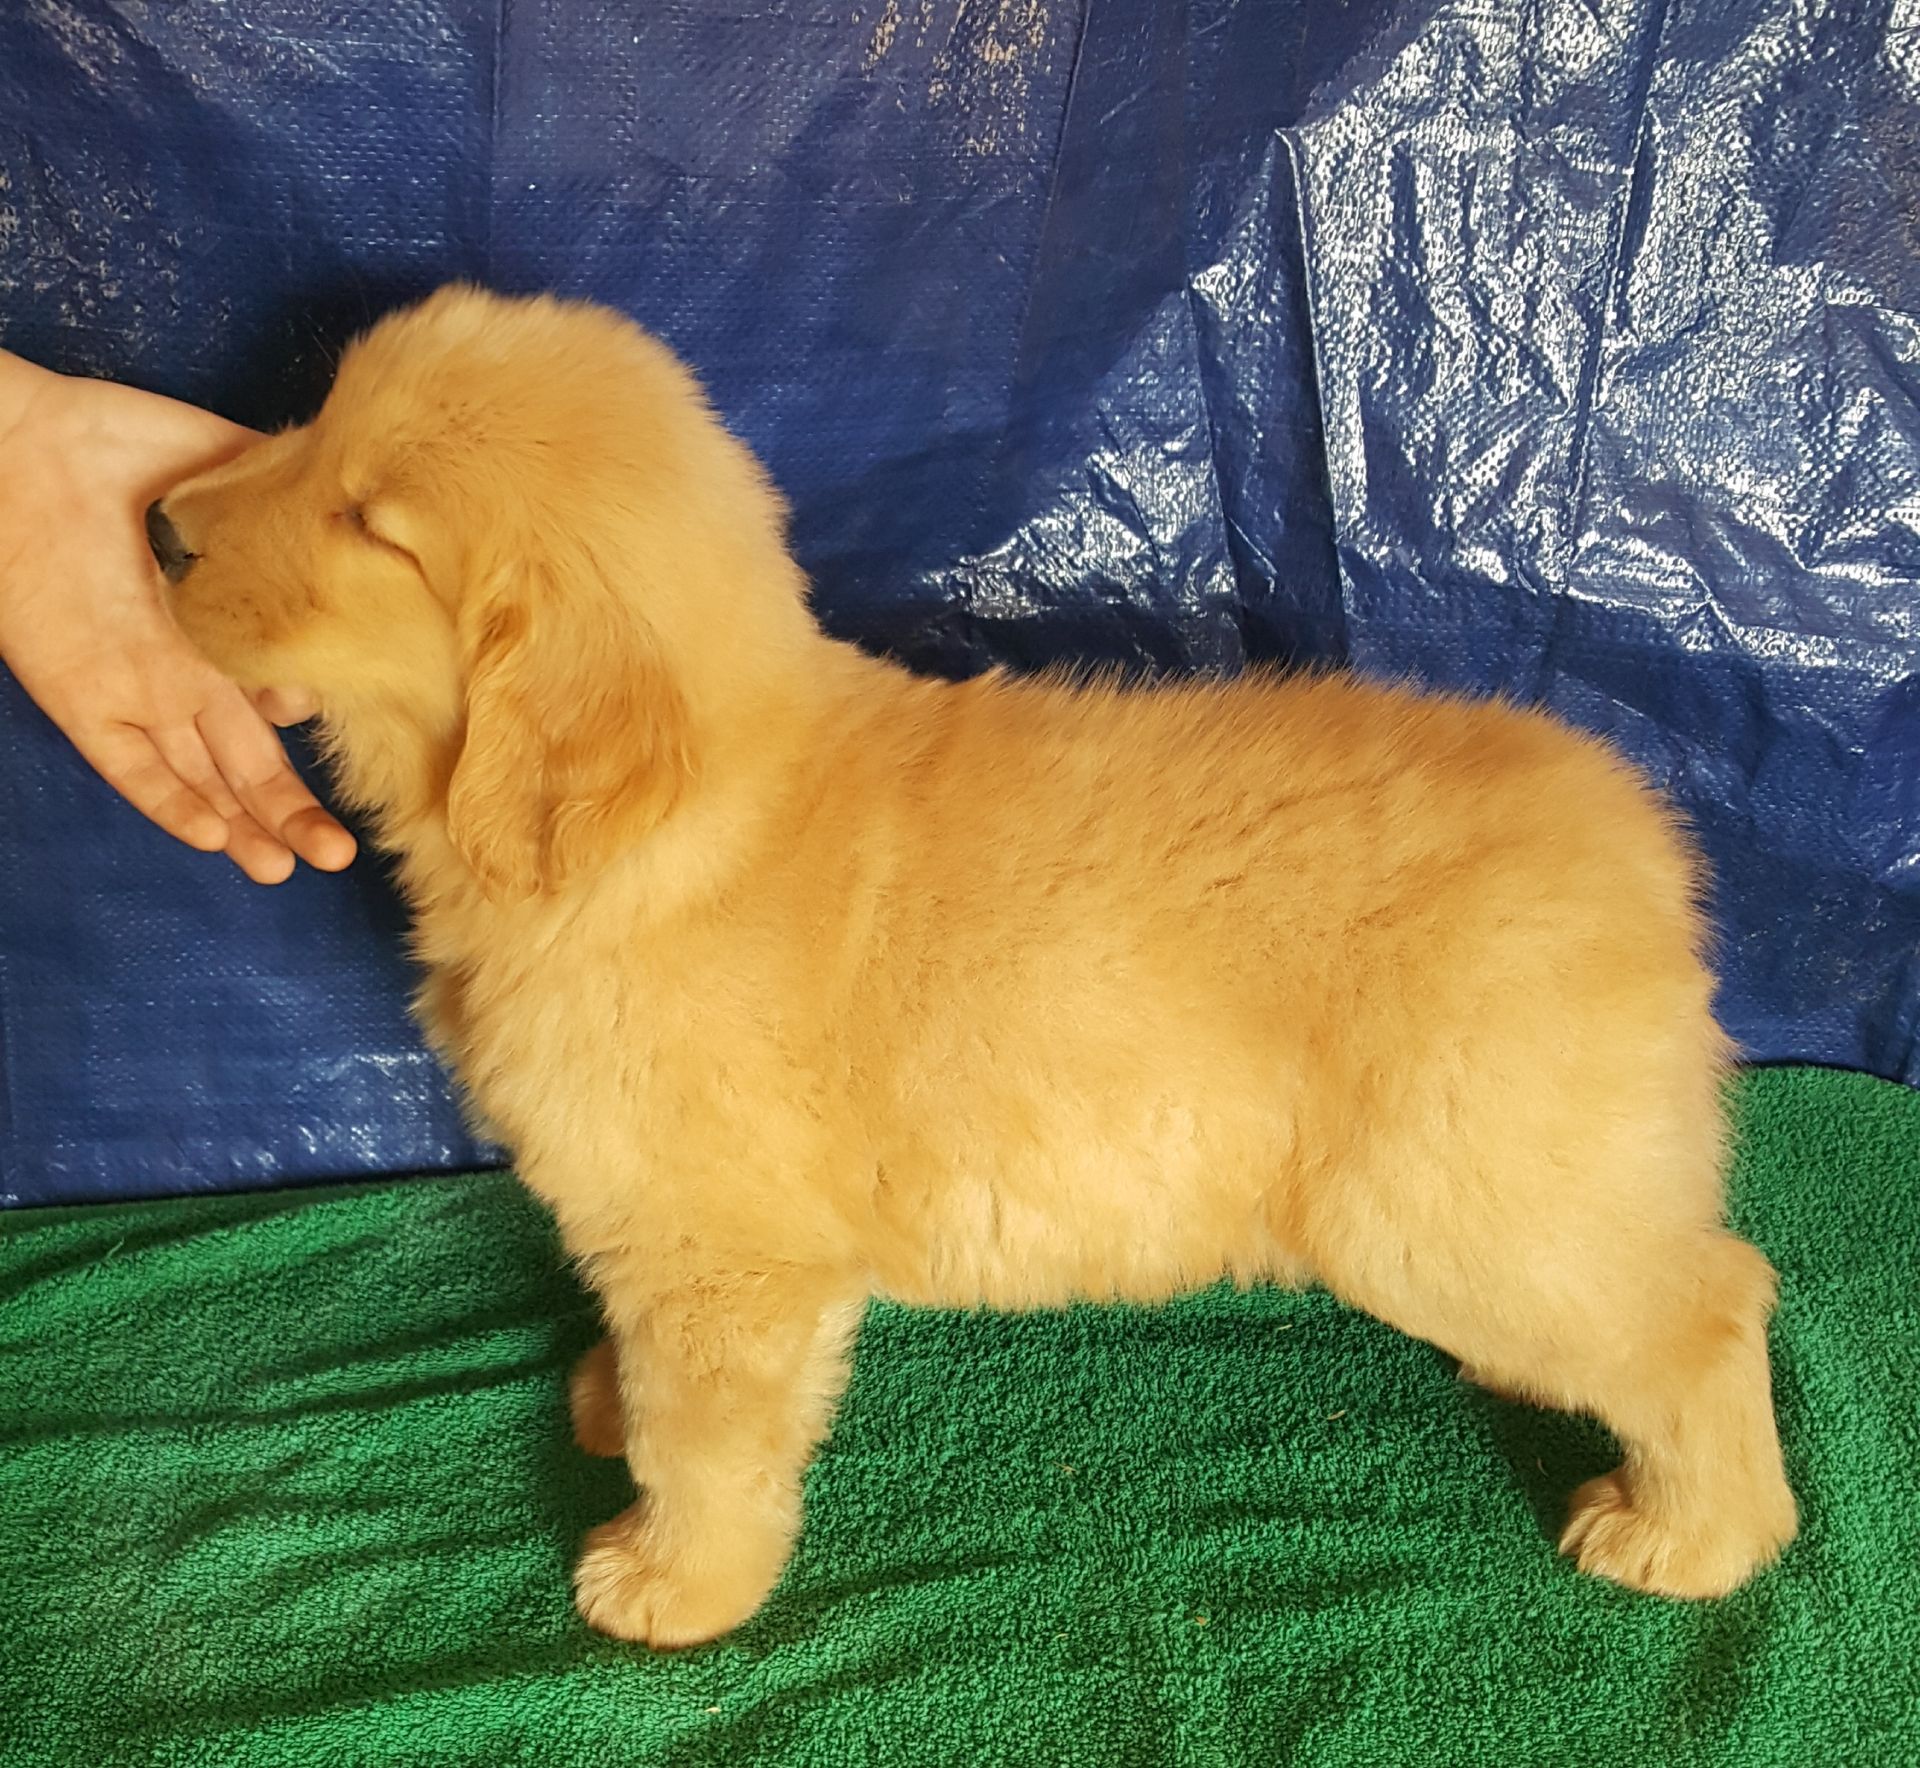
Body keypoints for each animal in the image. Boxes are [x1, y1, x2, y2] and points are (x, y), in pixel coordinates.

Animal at [157, 286, 1789, 1643]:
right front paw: (609, 1405)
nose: (160, 524)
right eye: (318, 423)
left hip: (1448, 1196)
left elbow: (708, 1438)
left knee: (1710, 1308)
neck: (663, 834)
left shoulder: (730, 1258)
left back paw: (1691, 1540)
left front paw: (672, 1580)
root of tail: (1638, 837)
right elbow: (649, 1368)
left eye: (374, 526)